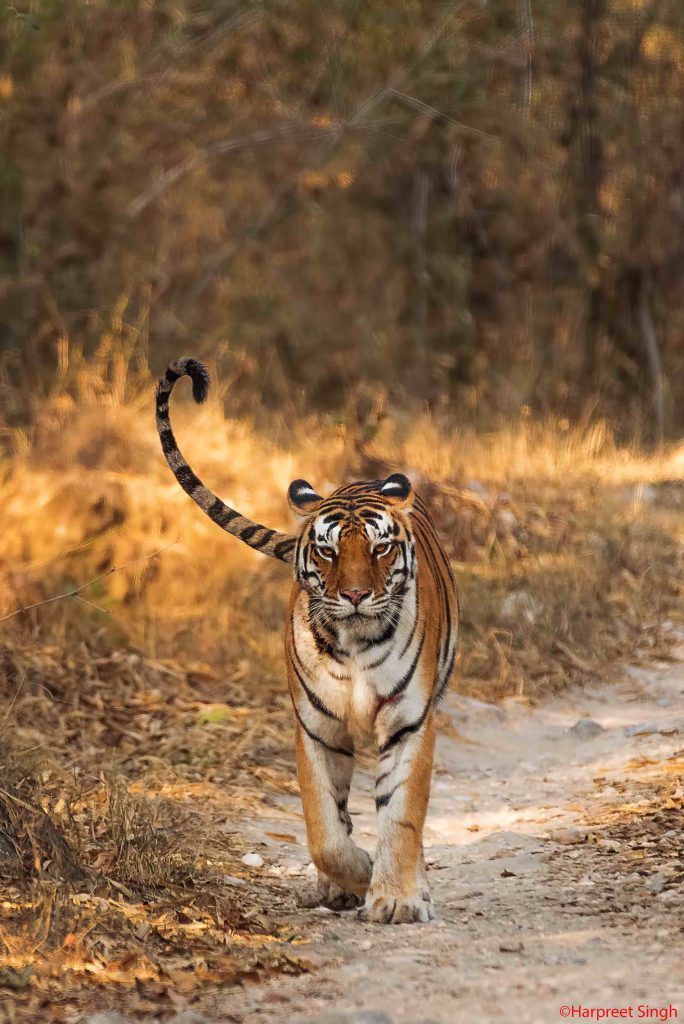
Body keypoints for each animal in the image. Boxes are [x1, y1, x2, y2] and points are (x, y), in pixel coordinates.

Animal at [156, 358, 456, 921]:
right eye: (328, 551)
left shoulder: (408, 721)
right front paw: (357, 875)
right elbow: (325, 832)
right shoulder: (317, 728)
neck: (356, 643)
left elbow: (402, 815)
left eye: (380, 548)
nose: (356, 594)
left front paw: (397, 897)